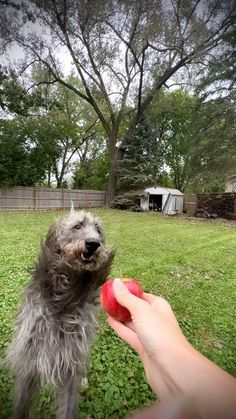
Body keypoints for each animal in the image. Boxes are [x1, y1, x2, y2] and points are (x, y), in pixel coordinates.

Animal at [6, 210, 114, 419]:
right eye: (77, 226)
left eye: (98, 230)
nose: (93, 244)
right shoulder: (31, 358)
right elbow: (22, 403)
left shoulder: (70, 358)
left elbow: (69, 403)